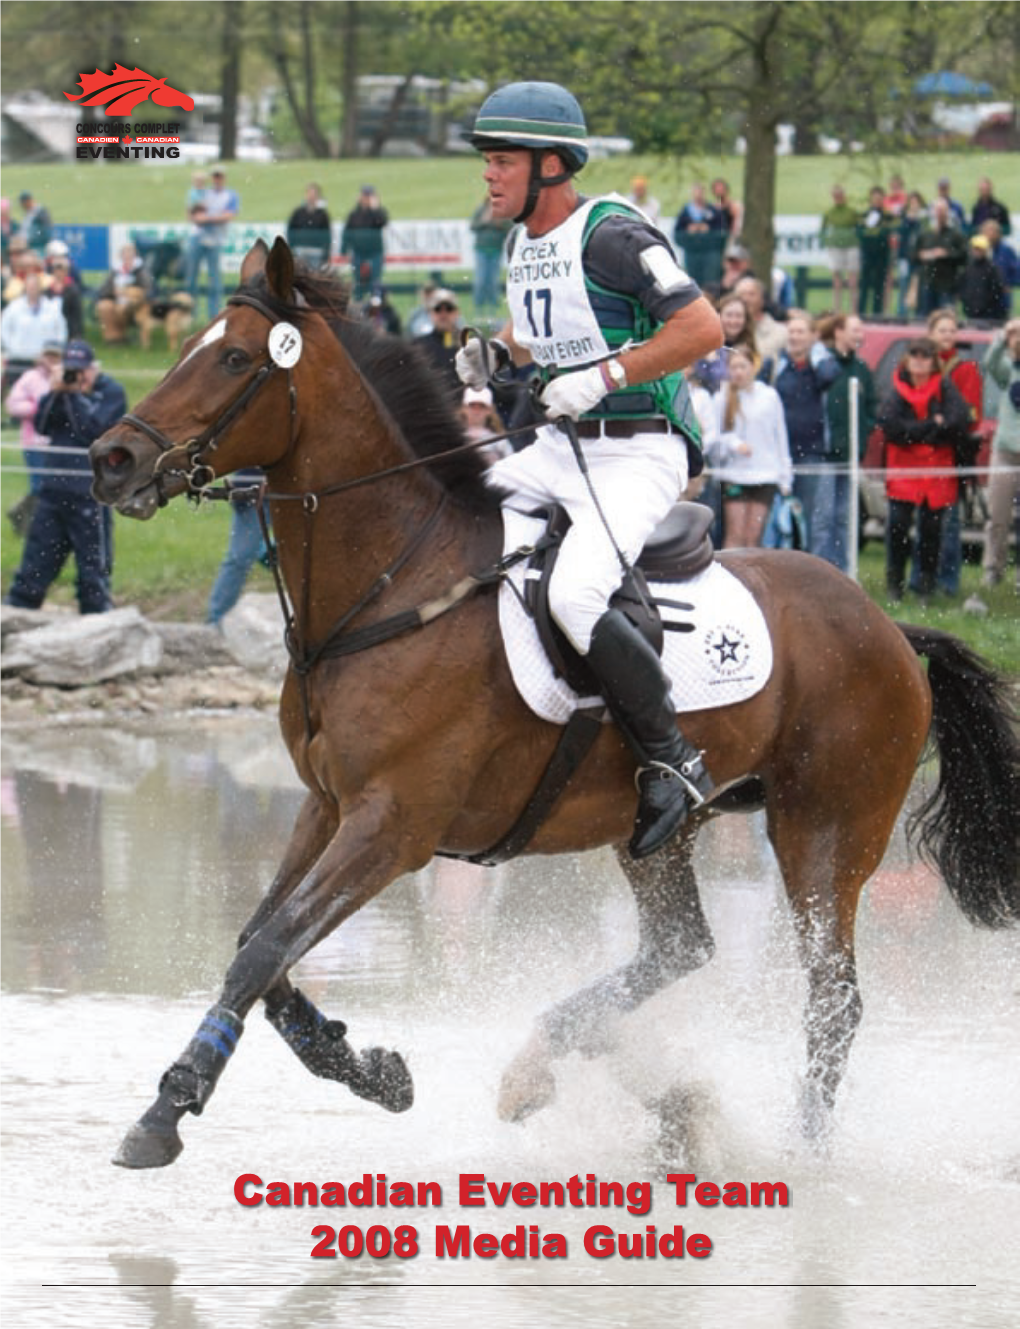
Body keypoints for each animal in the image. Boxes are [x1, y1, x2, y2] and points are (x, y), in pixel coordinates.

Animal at [91, 241, 1016, 1174]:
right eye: (191, 346)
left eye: (236, 359)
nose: (110, 459)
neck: (393, 582)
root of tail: (887, 623)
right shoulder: (327, 808)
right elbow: (260, 947)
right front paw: (369, 1068)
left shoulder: (391, 826)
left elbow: (266, 950)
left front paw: (169, 1105)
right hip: (657, 834)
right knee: (681, 947)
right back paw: (586, 1075)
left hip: (824, 831)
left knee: (832, 998)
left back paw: (802, 1154)